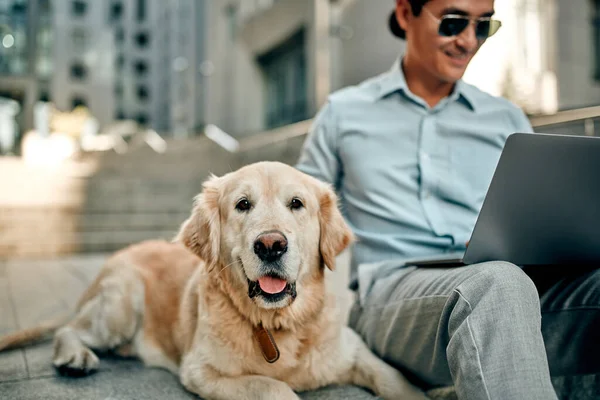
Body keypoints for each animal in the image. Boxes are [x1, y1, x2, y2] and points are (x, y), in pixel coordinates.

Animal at [0, 162, 426, 400]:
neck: (276, 325)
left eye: (296, 204)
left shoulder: (353, 350)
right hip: (121, 304)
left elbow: (395, 378)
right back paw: (75, 357)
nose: (271, 245)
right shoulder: (202, 370)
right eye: (242, 204)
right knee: (69, 330)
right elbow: (272, 386)